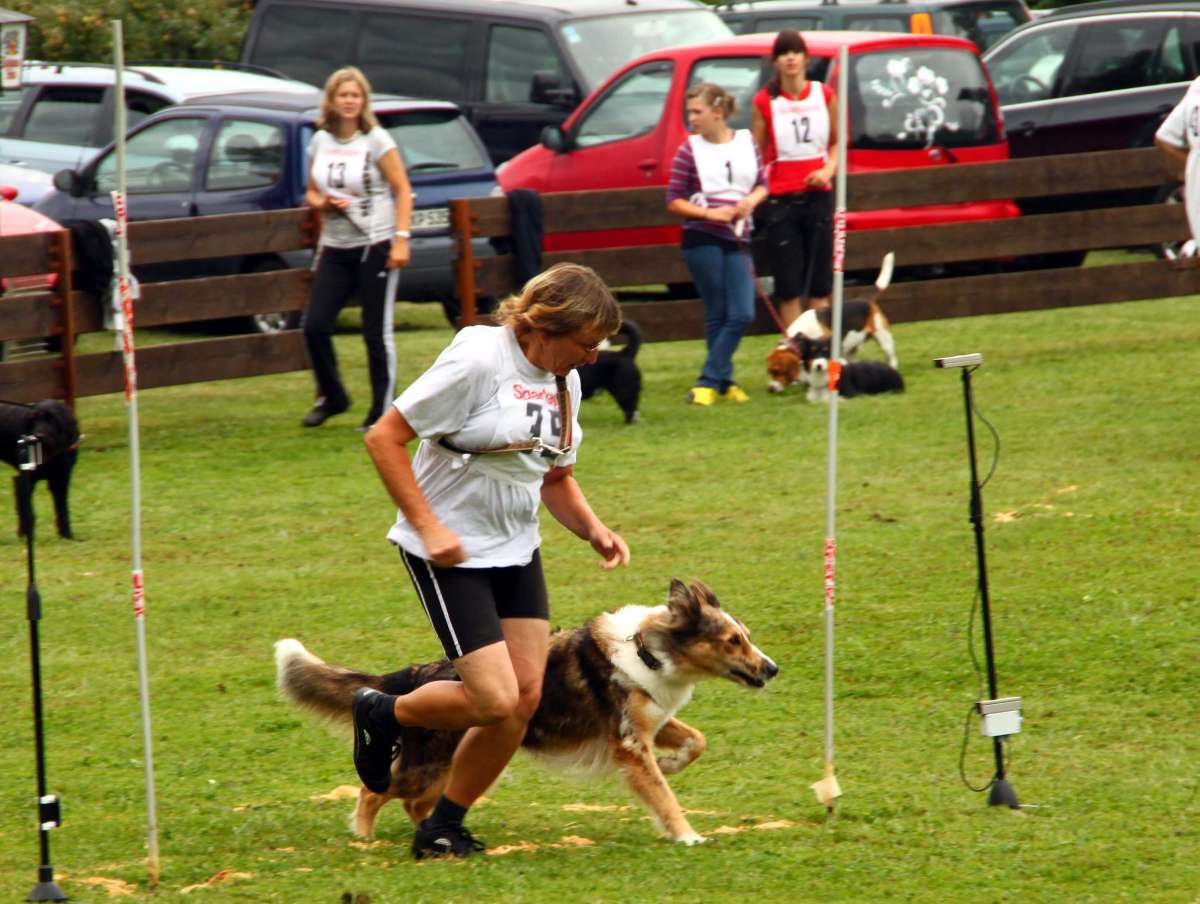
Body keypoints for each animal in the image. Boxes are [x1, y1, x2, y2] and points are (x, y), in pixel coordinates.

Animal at [1, 396, 81, 535]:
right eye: (33, 419)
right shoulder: (25, 480)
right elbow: (27, 511)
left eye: (53, 419)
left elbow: (63, 510)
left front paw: (67, 535)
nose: (39, 436)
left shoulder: (61, 479)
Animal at [273, 578, 777, 845]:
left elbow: (696, 741)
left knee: (415, 802)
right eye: (732, 640)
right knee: (373, 790)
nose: (772, 668)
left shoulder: (650, 721)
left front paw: (672, 763)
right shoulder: (629, 743)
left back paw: (437, 834)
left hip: (452, 761)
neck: (648, 649)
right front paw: (687, 835)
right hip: (428, 764)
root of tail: (413, 678)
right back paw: (364, 835)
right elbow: (663, 796)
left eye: (746, 637)